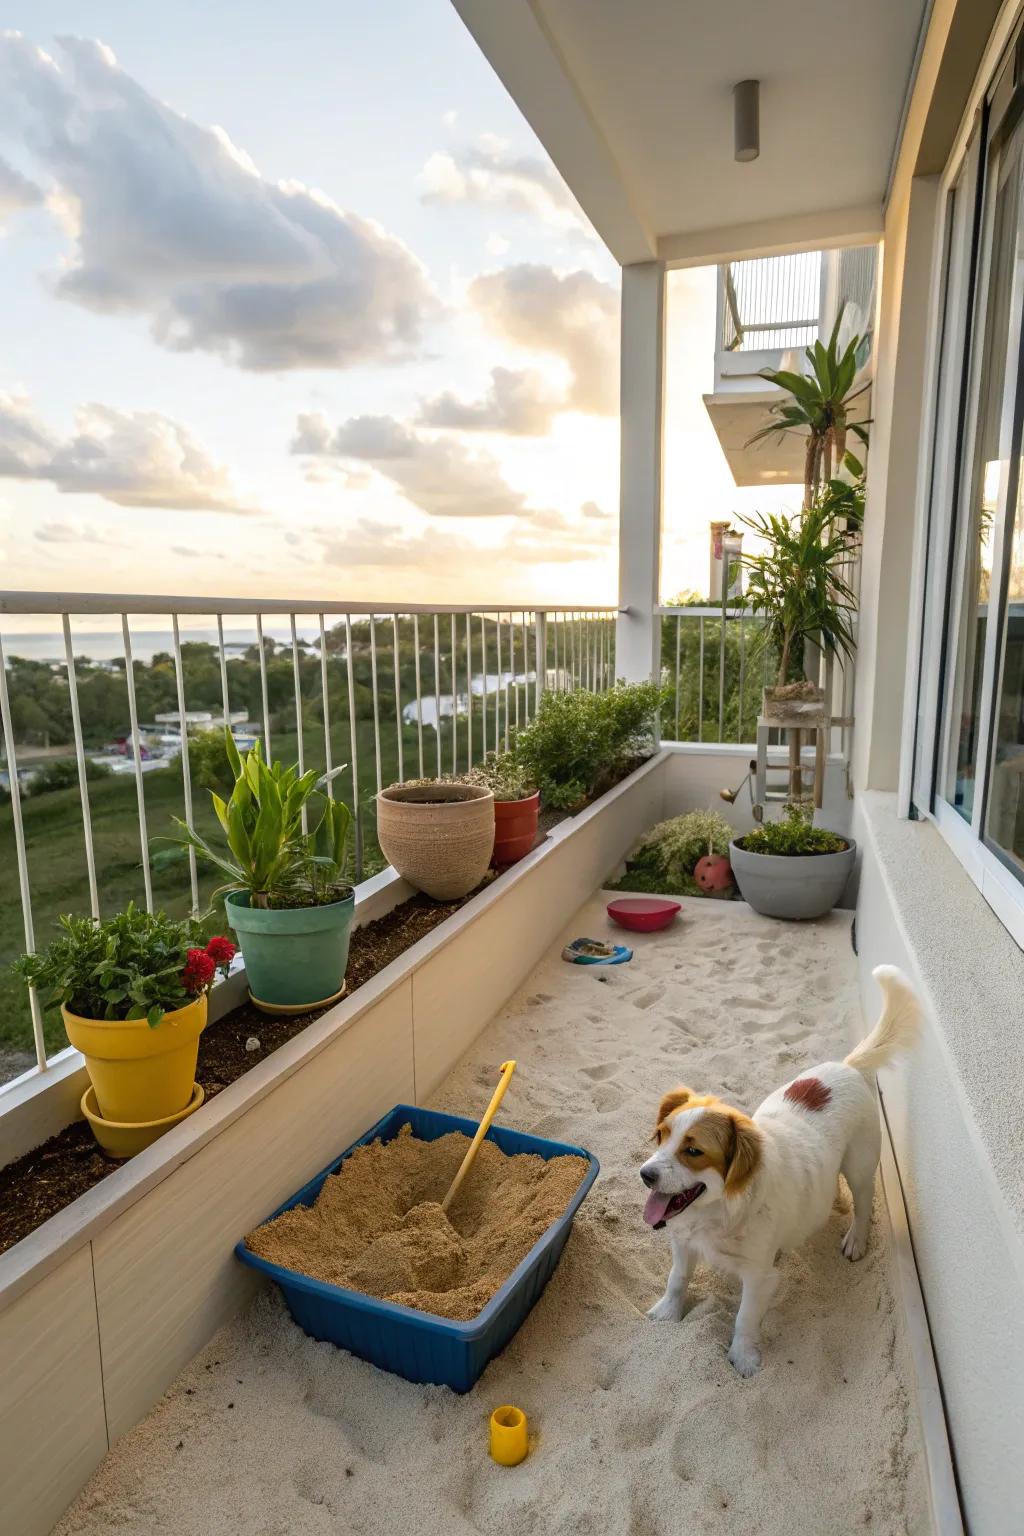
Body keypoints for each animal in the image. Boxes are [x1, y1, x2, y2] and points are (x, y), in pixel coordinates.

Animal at [641, 964, 921, 1376]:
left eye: (693, 1151)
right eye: (661, 1136)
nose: (644, 1175)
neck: (720, 1212)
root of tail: (847, 1066)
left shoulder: (758, 1276)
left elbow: (744, 1317)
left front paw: (743, 1357)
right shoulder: (682, 1242)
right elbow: (677, 1278)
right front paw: (668, 1313)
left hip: (860, 1165)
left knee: (863, 1203)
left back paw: (856, 1239)